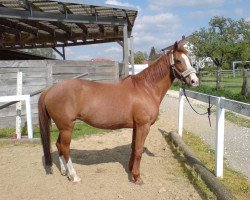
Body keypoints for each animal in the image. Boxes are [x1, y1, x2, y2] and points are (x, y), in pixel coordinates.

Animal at [38, 41, 198, 184]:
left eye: (190, 60)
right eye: (178, 60)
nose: (195, 81)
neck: (146, 89)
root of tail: (49, 90)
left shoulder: (136, 126)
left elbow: (133, 148)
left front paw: (131, 170)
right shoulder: (143, 126)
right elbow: (138, 150)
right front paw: (137, 177)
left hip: (63, 127)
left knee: (58, 145)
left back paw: (64, 171)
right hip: (67, 127)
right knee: (65, 148)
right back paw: (73, 176)